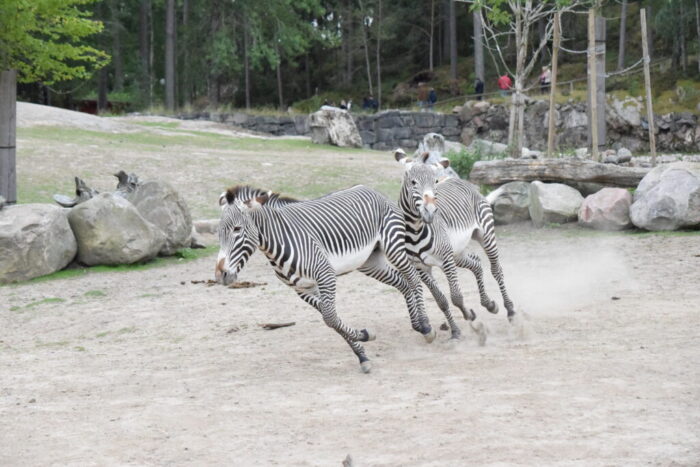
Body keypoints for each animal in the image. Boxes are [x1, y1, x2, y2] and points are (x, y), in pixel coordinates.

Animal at [215, 185, 437, 373]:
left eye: (237, 229)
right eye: (218, 233)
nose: (220, 275)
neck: (278, 241)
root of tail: (371, 189)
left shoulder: (325, 274)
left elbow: (330, 318)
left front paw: (364, 337)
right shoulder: (303, 289)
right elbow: (332, 319)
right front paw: (362, 351)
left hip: (393, 246)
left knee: (413, 279)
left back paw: (426, 326)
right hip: (370, 261)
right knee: (403, 283)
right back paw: (417, 324)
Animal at [393, 149, 517, 344]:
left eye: (435, 182)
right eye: (413, 182)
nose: (430, 212)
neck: (415, 231)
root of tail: (460, 180)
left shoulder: (446, 260)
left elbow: (456, 297)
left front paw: (472, 324)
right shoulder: (420, 267)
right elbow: (441, 300)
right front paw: (457, 329)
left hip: (485, 235)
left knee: (496, 269)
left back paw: (510, 311)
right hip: (457, 252)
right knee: (476, 263)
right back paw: (489, 304)